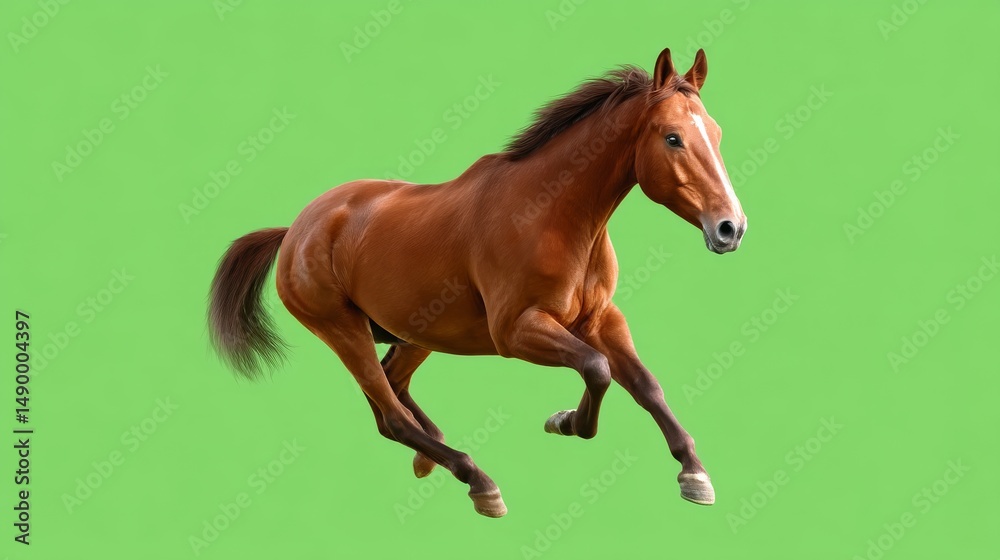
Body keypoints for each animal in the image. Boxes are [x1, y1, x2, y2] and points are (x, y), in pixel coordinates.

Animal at [208, 48, 747, 518]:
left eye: (717, 133)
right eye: (672, 137)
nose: (731, 228)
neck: (553, 215)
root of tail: (296, 228)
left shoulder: (600, 318)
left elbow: (645, 384)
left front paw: (694, 473)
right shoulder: (515, 331)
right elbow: (597, 369)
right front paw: (568, 423)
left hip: (416, 331)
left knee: (393, 387)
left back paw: (433, 454)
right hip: (342, 329)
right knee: (388, 413)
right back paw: (477, 480)